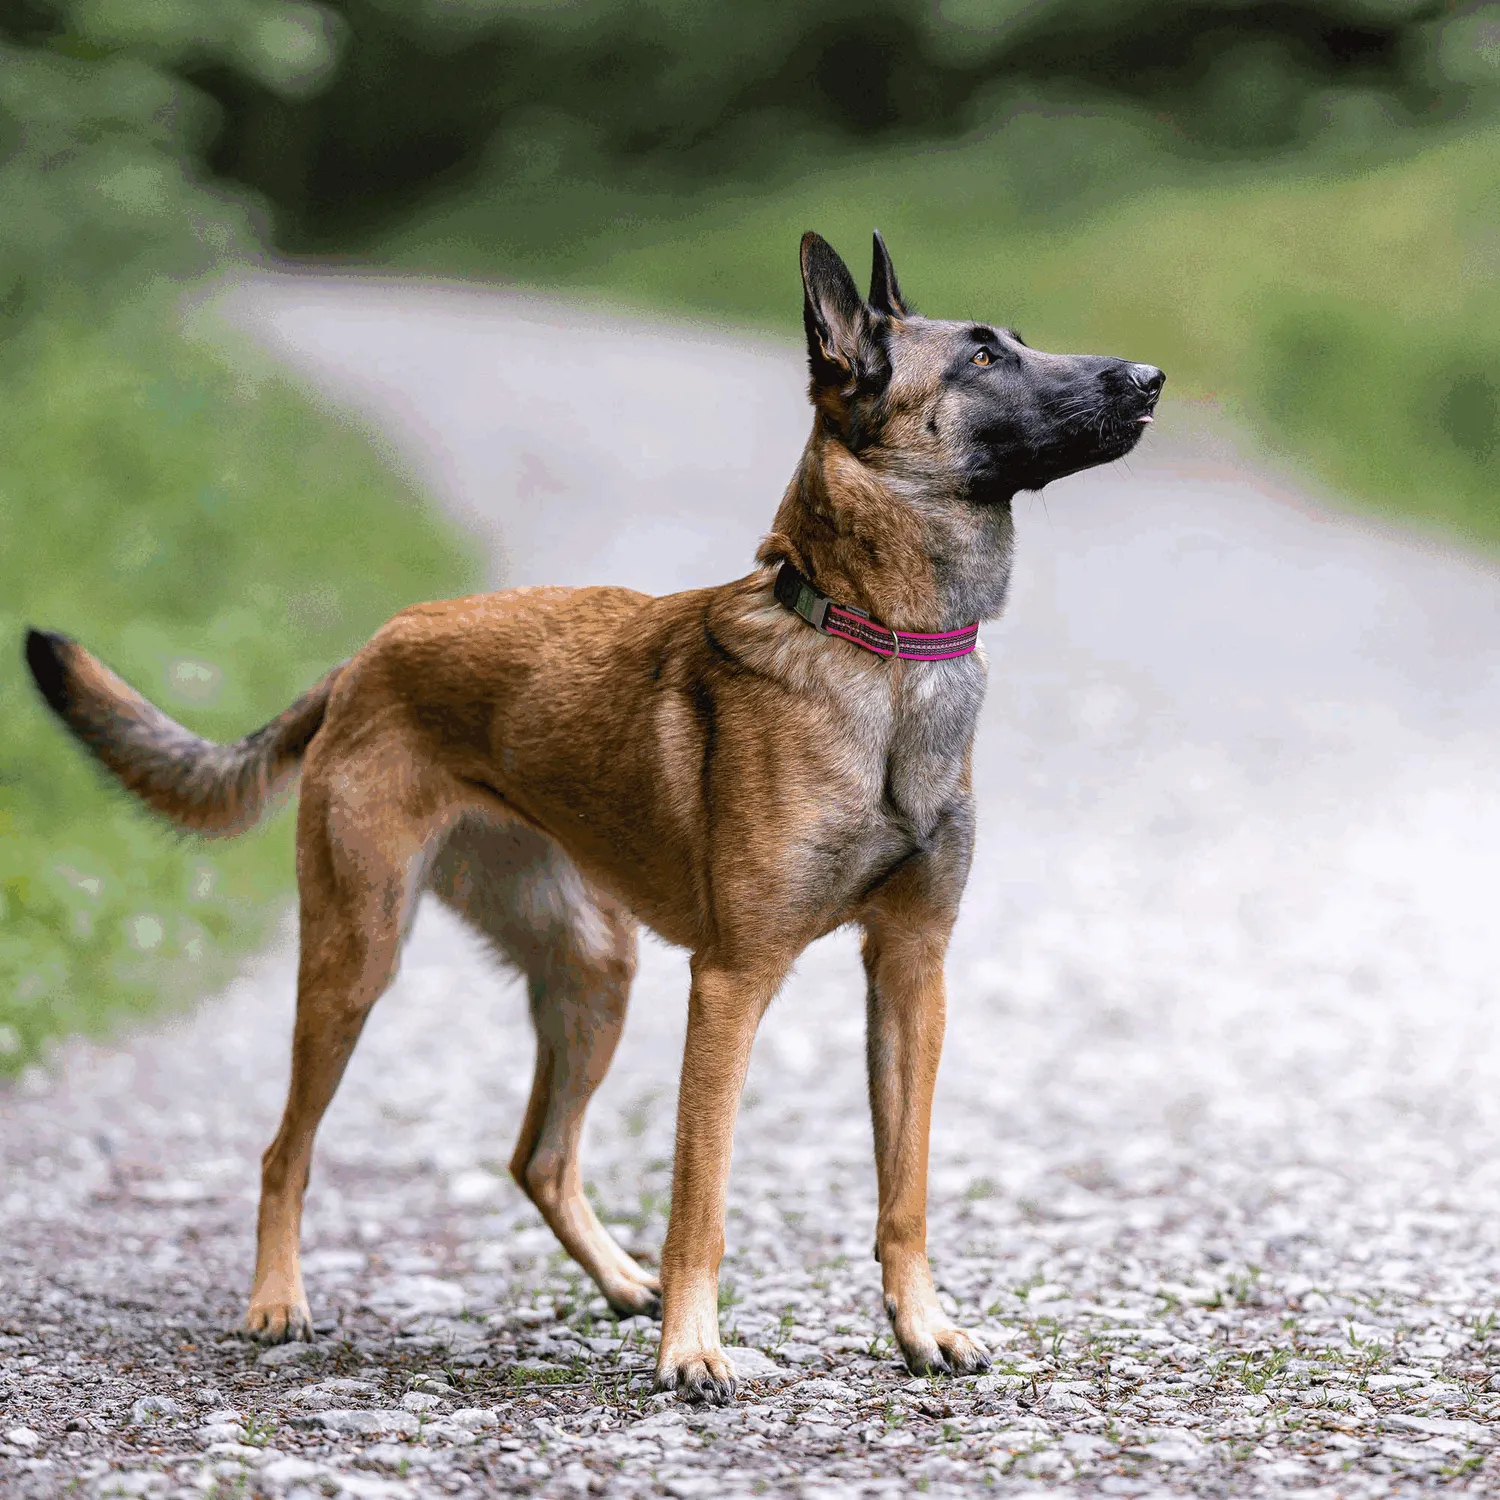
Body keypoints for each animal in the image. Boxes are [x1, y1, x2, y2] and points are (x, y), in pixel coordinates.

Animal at [29, 228, 1164, 1398]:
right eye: (982, 359)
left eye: (1014, 342)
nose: (1148, 378)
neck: (877, 646)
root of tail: (370, 653)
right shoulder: (732, 983)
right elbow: (701, 1196)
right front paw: (696, 1351)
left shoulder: (910, 976)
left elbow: (906, 1192)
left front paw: (920, 1326)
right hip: (357, 960)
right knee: (284, 1151)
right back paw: (276, 1300)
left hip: (592, 972)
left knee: (538, 1156)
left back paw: (624, 1285)